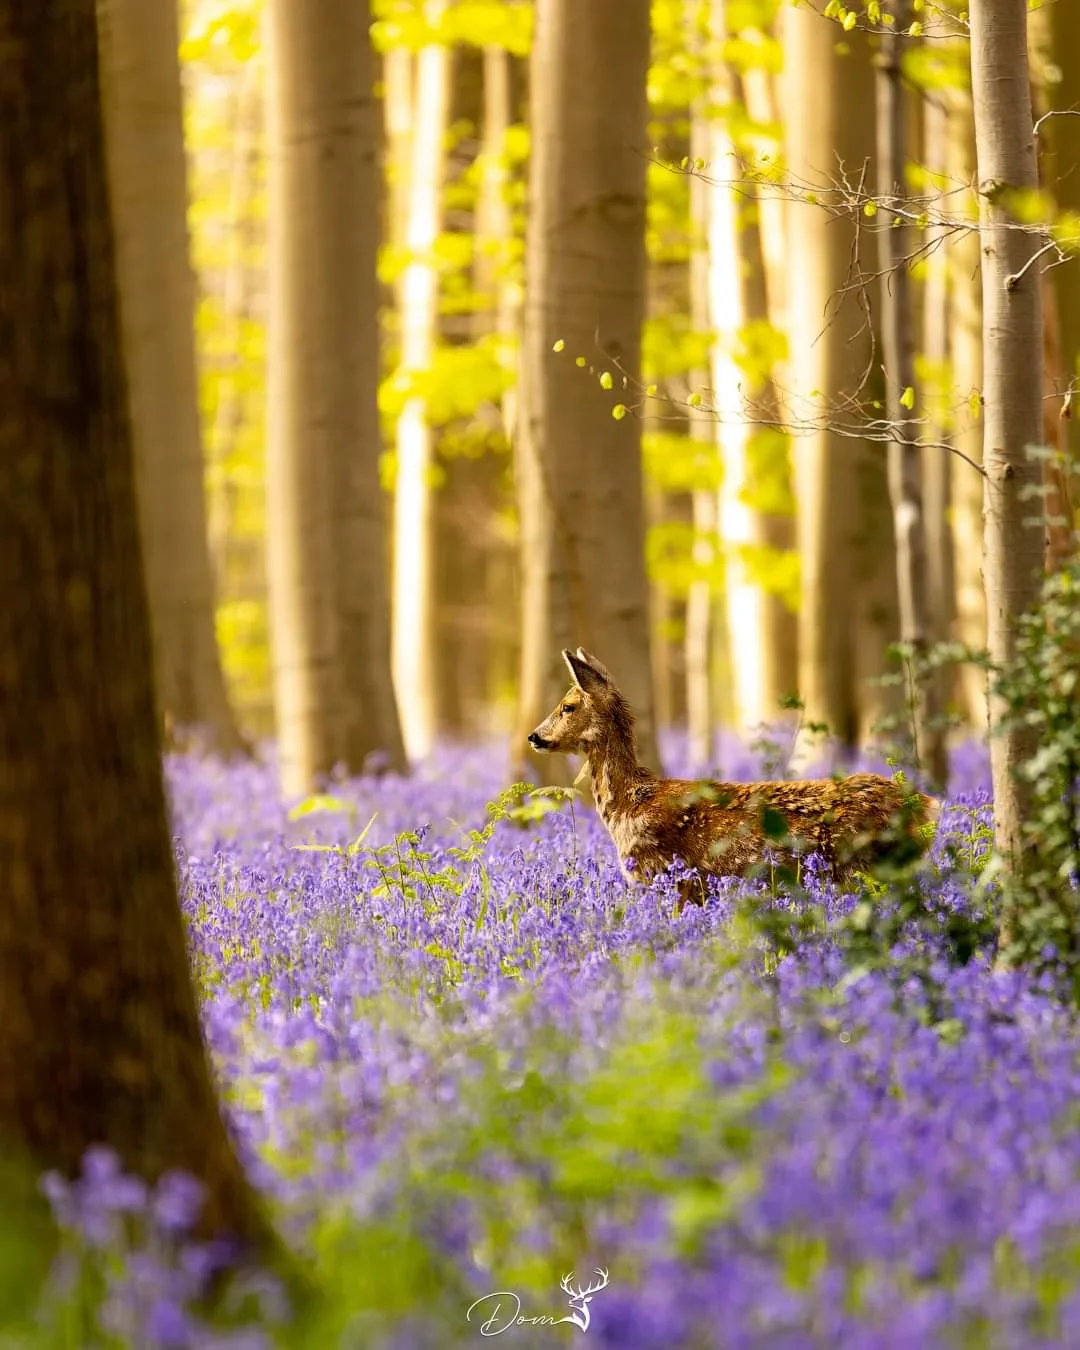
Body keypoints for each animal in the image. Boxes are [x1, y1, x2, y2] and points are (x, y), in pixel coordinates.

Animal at [528, 648, 939, 905]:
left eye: (567, 706)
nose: (534, 736)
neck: (630, 803)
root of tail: (923, 805)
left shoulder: (668, 876)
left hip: (864, 867)